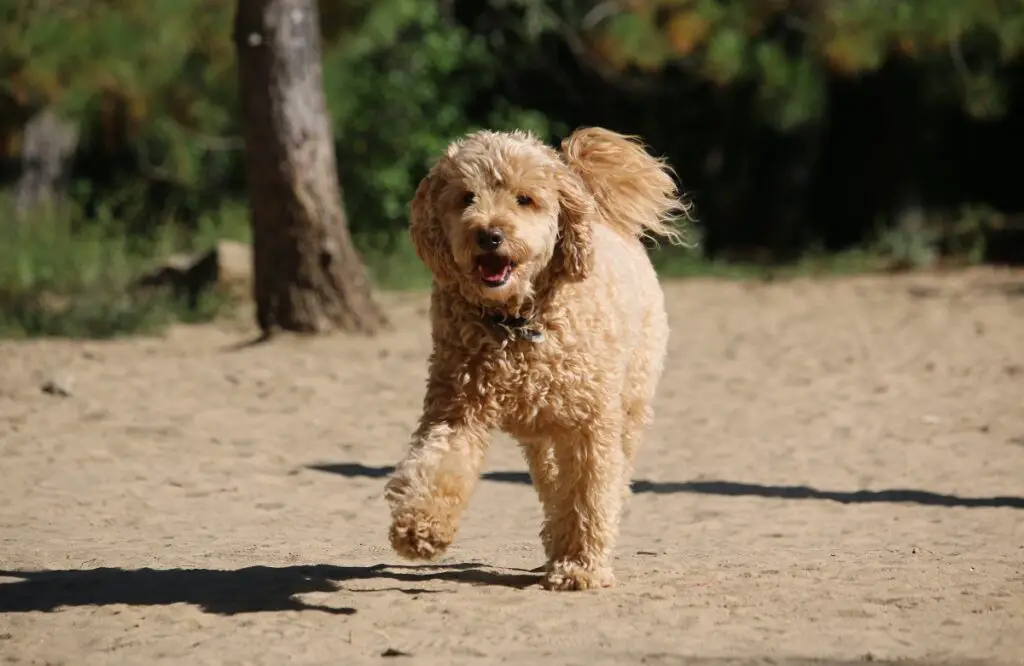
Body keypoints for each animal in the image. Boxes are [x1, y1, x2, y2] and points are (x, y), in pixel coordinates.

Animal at [385, 127, 688, 590]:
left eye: (524, 199)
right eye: (466, 197)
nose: (488, 234)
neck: (517, 322)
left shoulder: (590, 424)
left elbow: (590, 491)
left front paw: (582, 565)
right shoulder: (457, 407)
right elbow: (437, 463)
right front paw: (420, 526)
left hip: (629, 403)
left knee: (611, 476)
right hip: (541, 433)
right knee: (553, 486)